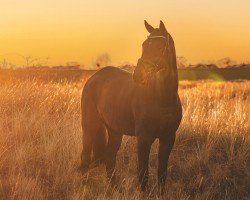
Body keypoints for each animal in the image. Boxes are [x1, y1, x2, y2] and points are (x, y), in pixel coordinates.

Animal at [79, 20, 182, 194]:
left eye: (159, 46)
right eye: (144, 45)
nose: (138, 75)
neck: (163, 98)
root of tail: (94, 78)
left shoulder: (168, 137)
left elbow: (162, 172)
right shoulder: (144, 138)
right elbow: (143, 172)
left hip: (114, 131)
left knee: (109, 158)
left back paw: (115, 189)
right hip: (90, 126)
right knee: (86, 157)